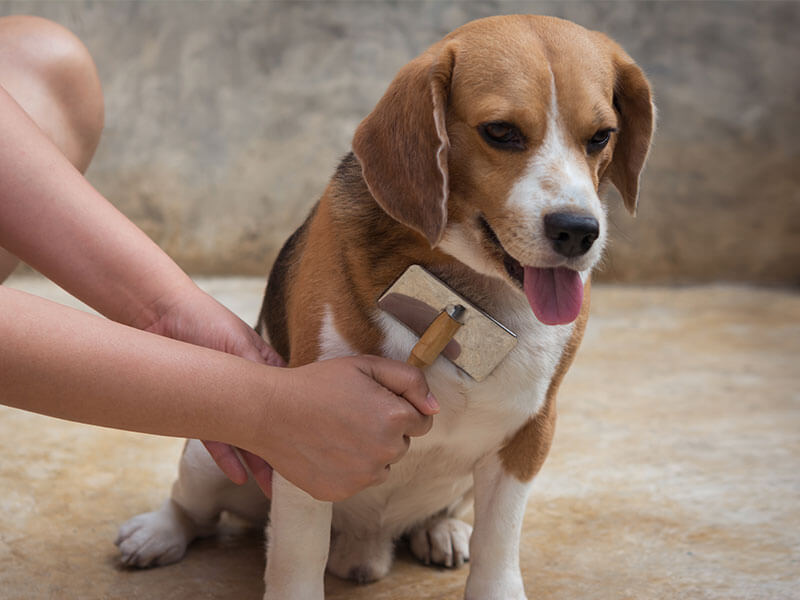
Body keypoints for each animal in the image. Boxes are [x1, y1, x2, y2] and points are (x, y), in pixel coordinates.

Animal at [120, 15, 656, 600]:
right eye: (500, 132)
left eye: (601, 136)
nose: (579, 231)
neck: (469, 290)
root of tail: (367, 544)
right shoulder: (305, 433)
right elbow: (296, 561)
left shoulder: (528, 434)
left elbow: (498, 550)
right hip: (209, 455)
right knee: (192, 509)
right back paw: (157, 534)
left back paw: (441, 531)